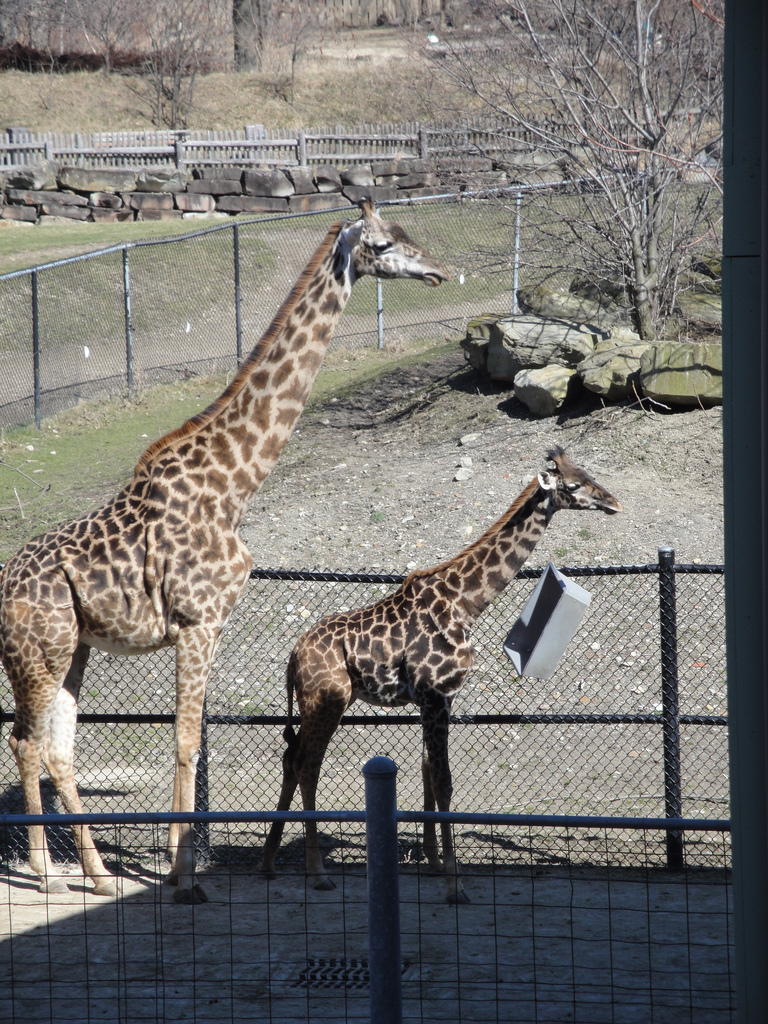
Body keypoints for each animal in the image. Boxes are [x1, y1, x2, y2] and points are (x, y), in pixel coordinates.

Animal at [0, 199, 448, 904]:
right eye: (381, 244)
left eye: (407, 234)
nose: (437, 270)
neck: (236, 483)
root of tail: (2, 588)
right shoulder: (197, 620)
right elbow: (186, 742)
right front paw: (183, 877)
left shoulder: (205, 626)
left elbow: (187, 740)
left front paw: (176, 870)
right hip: (37, 653)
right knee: (25, 741)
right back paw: (46, 873)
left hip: (71, 650)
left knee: (55, 747)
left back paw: (97, 876)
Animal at [259, 446, 621, 902]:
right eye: (573, 484)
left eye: (588, 473)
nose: (614, 502)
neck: (465, 603)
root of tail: (293, 656)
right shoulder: (435, 694)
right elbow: (445, 780)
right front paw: (454, 883)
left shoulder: (436, 698)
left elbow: (428, 770)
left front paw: (433, 863)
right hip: (329, 700)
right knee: (308, 765)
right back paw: (318, 872)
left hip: (315, 704)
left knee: (292, 758)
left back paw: (270, 861)